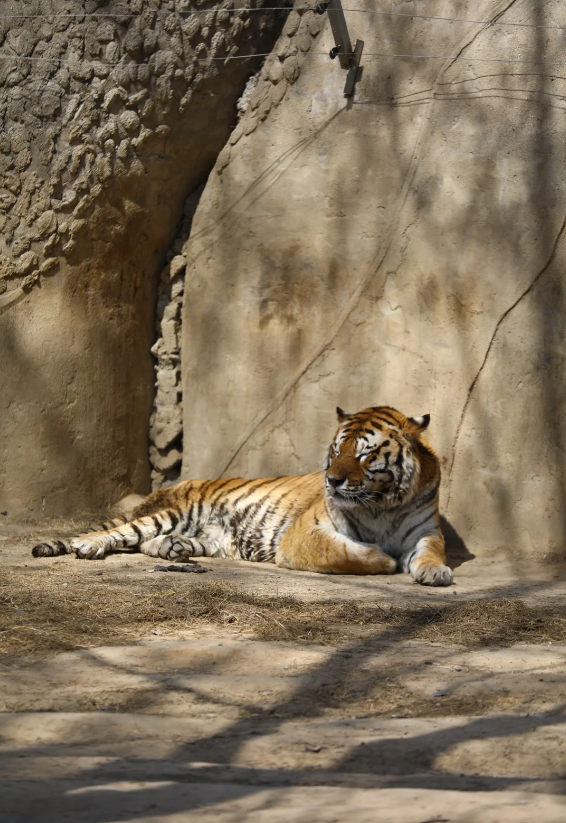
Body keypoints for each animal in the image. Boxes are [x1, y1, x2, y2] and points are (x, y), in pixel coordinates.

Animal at [32, 406, 458, 584]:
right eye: (337, 451)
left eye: (365, 454)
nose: (332, 481)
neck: (383, 505)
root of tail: (184, 485)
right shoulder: (306, 533)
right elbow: (345, 553)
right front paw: (385, 560)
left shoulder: (425, 530)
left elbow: (431, 551)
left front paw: (434, 571)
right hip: (175, 513)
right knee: (121, 532)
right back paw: (88, 545)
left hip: (212, 539)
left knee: (149, 542)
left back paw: (171, 549)